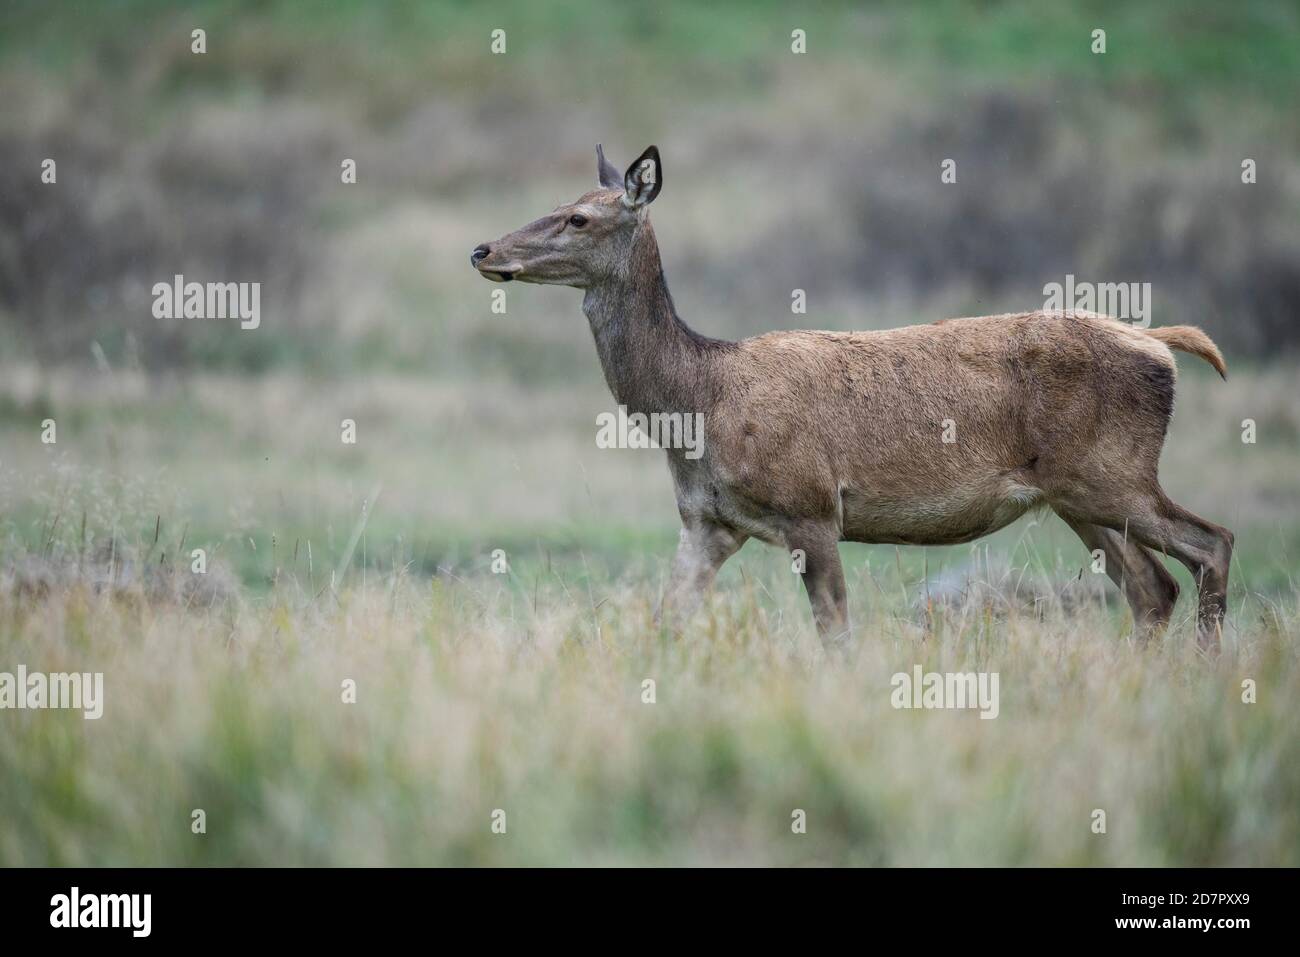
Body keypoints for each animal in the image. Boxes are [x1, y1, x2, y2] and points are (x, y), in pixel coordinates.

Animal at [467, 143, 1227, 650]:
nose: (483, 250)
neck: (701, 403)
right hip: (1076, 496)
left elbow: (835, 632)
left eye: (579, 218)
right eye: (558, 206)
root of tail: (1160, 343)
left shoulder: (812, 506)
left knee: (1209, 543)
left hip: (1112, 473)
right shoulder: (707, 522)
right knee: (1152, 589)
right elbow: (665, 619)